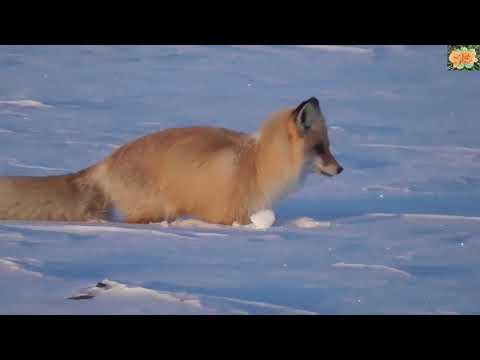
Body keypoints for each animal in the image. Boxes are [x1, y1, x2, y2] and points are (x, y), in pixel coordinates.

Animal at [0, 97, 344, 224]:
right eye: (320, 149)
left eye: (329, 146)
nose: (341, 169)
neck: (258, 164)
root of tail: (106, 160)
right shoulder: (226, 214)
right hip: (152, 210)